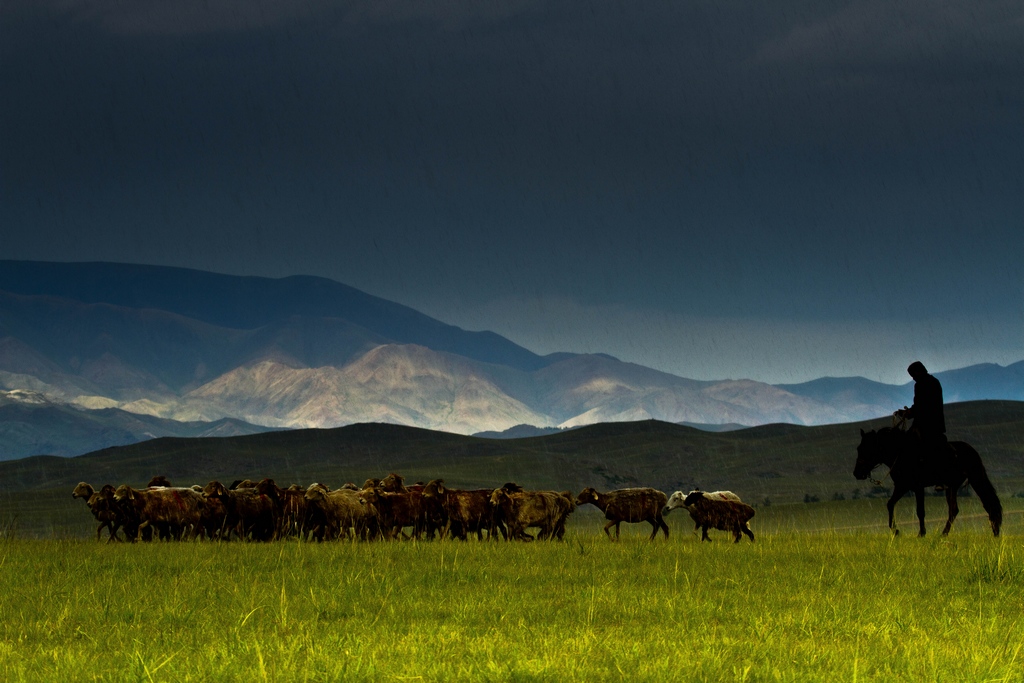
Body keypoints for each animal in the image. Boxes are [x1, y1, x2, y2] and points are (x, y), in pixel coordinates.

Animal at [851, 430, 1003, 536]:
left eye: (866, 448)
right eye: (858, 448)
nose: (857, 473)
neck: (901, 454)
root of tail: (972, 451)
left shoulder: (918, 487)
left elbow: (920, 511)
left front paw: (921, 533)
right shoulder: (902, 486)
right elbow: (890, 504)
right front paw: (895, 531)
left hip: (966, 482)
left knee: (979, 504)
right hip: (952, 487)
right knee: (957, 509)